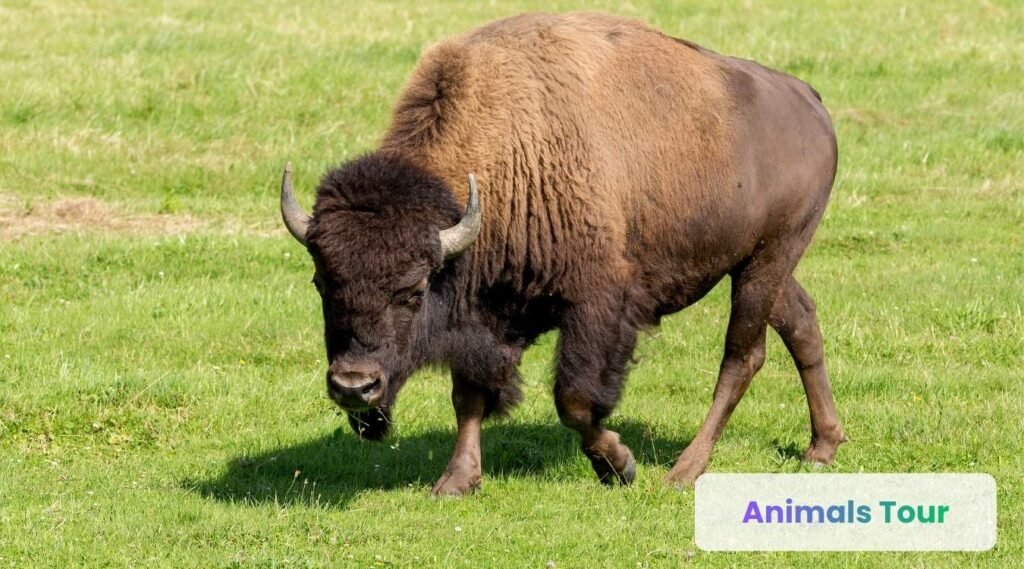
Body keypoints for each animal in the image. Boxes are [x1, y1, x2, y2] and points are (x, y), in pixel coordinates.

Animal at [279, 12, 846, 495]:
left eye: (413, 290)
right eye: (321, 283)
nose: (353, 386)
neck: (508, 156)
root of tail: (809, 100)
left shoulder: (598, 305)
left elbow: (574, 400)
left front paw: (618, 464)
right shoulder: (482, 313)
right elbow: (469, 396)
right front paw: (457, 481)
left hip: (767, 260)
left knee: (742, 356)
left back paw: (684, 470)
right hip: (754, 261)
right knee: (801, 320)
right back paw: (822, 446)